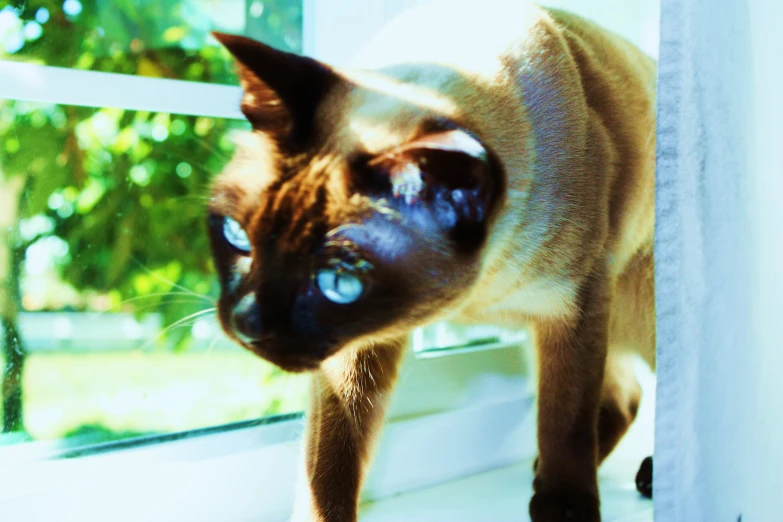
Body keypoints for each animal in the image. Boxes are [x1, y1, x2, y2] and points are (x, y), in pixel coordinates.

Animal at [207, 2, 656, 516]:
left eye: (337, 283)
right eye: (236, 236)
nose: (246, 323)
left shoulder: (572, 311)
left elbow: (565, 424)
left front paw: (565, 507)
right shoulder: (357, 347)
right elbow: (330, 466)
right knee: (627, 395)